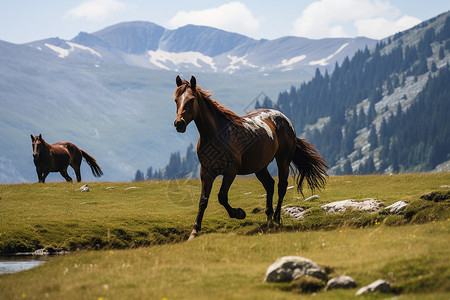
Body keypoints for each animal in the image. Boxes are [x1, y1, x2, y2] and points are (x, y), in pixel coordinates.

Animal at [172, 75, 326, 239]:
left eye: (191, 100)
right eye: (176, 100)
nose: (179, 124)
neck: (216, 136)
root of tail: (285, 120)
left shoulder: (231, 170)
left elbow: (222, 196)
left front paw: (239, 213)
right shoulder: (206, 172)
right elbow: (203, 201)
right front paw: (194, 231)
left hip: (283, 160)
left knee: (281, 186)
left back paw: (277, 218)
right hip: (260, 166)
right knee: (270, 185)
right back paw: (269, 218)